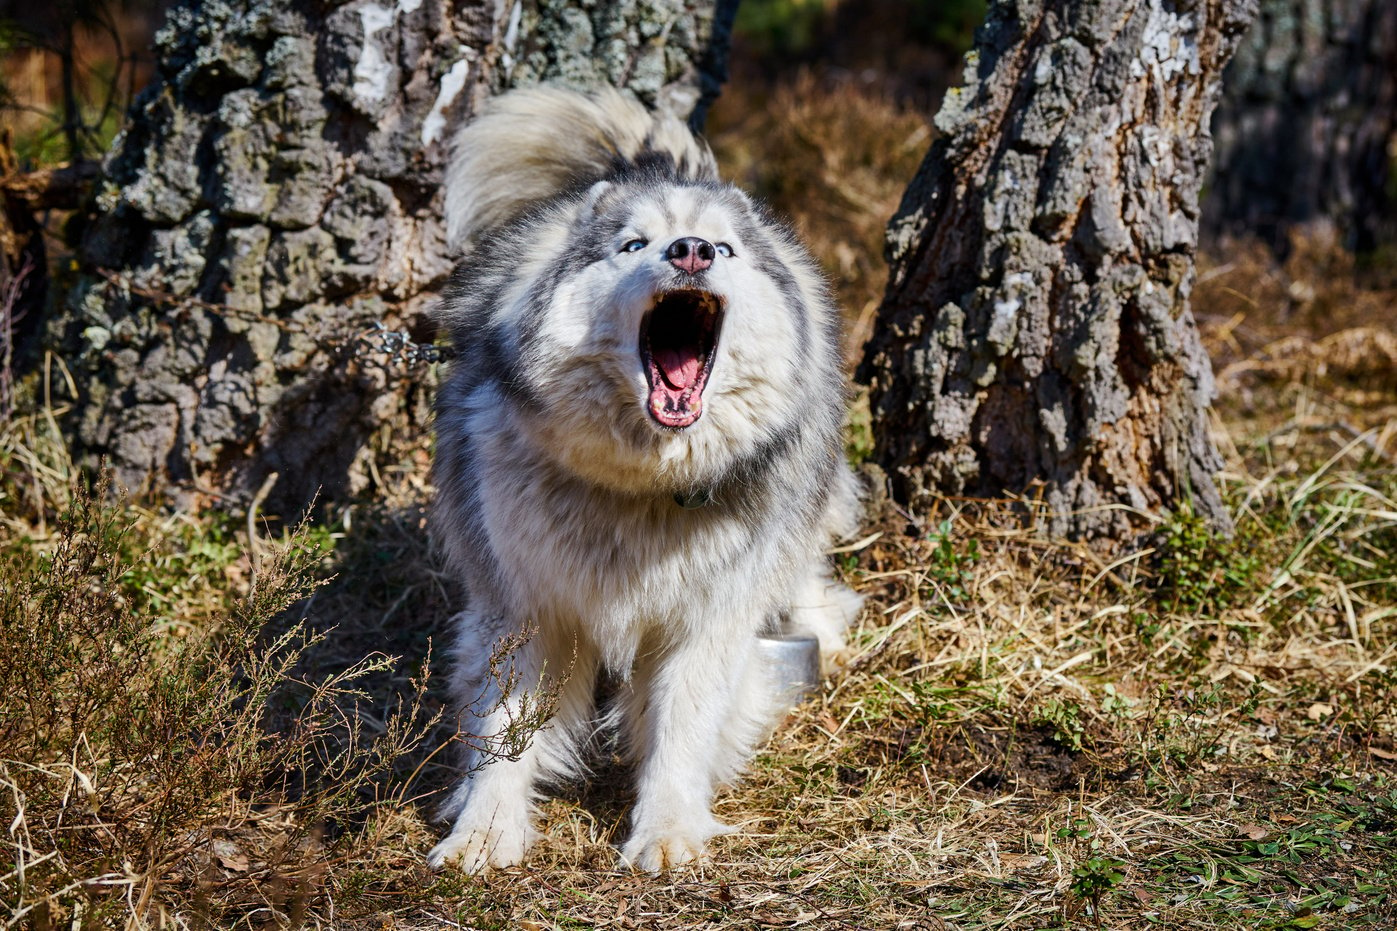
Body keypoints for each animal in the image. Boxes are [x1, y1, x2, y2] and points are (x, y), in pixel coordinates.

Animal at [424, 87, 860, 872]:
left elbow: (681, 732)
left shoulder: (705, 618)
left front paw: (667, 832)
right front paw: (483, 832)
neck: (639, 488)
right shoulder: (524, 606)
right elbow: (502, 735)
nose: (689, 251)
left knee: (805, 561)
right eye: (633, 245)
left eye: (723, 249)